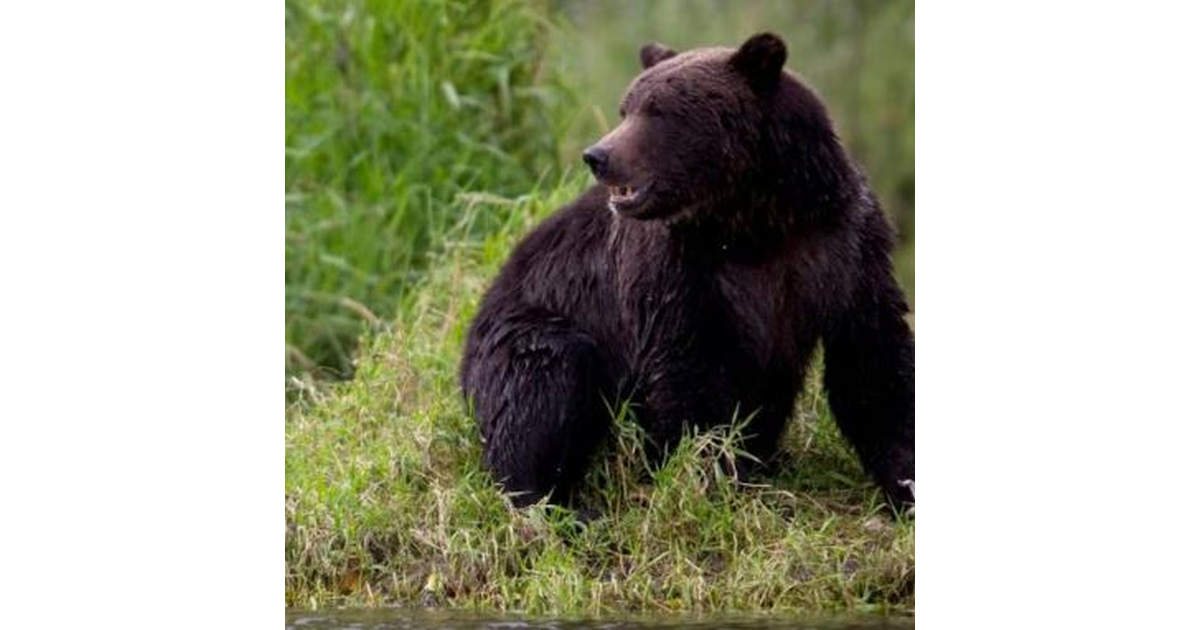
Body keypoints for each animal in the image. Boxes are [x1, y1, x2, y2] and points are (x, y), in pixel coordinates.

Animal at [460, 33, 914, 511]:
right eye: (626, 108)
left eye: (658, 111)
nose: (598, 155)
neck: (754, 221)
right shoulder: (676, 268)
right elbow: (687, 370)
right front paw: (717, 476)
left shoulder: (841, 245)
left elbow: (872, 359)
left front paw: (906, 481)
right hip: (524, 327)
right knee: (543, 382)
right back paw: (552, 502)